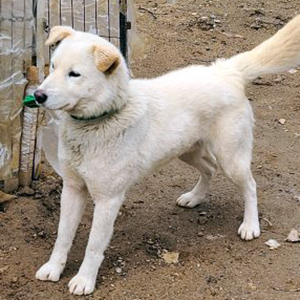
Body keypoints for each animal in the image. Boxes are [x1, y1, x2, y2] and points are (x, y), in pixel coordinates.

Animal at [34, 15, 300, 292]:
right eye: (53, 66)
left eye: (74, 74)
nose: (38, 95)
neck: (101, 119)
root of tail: (226, 71)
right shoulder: (72, 189)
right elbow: (63, 236)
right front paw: (54, 268)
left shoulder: (108, 199)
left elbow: (94, 246)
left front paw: (85, 280)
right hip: (187, 151)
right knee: (209, 168)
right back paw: (194, 197)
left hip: (231, 158)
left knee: (250, 185)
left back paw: (250, 225)